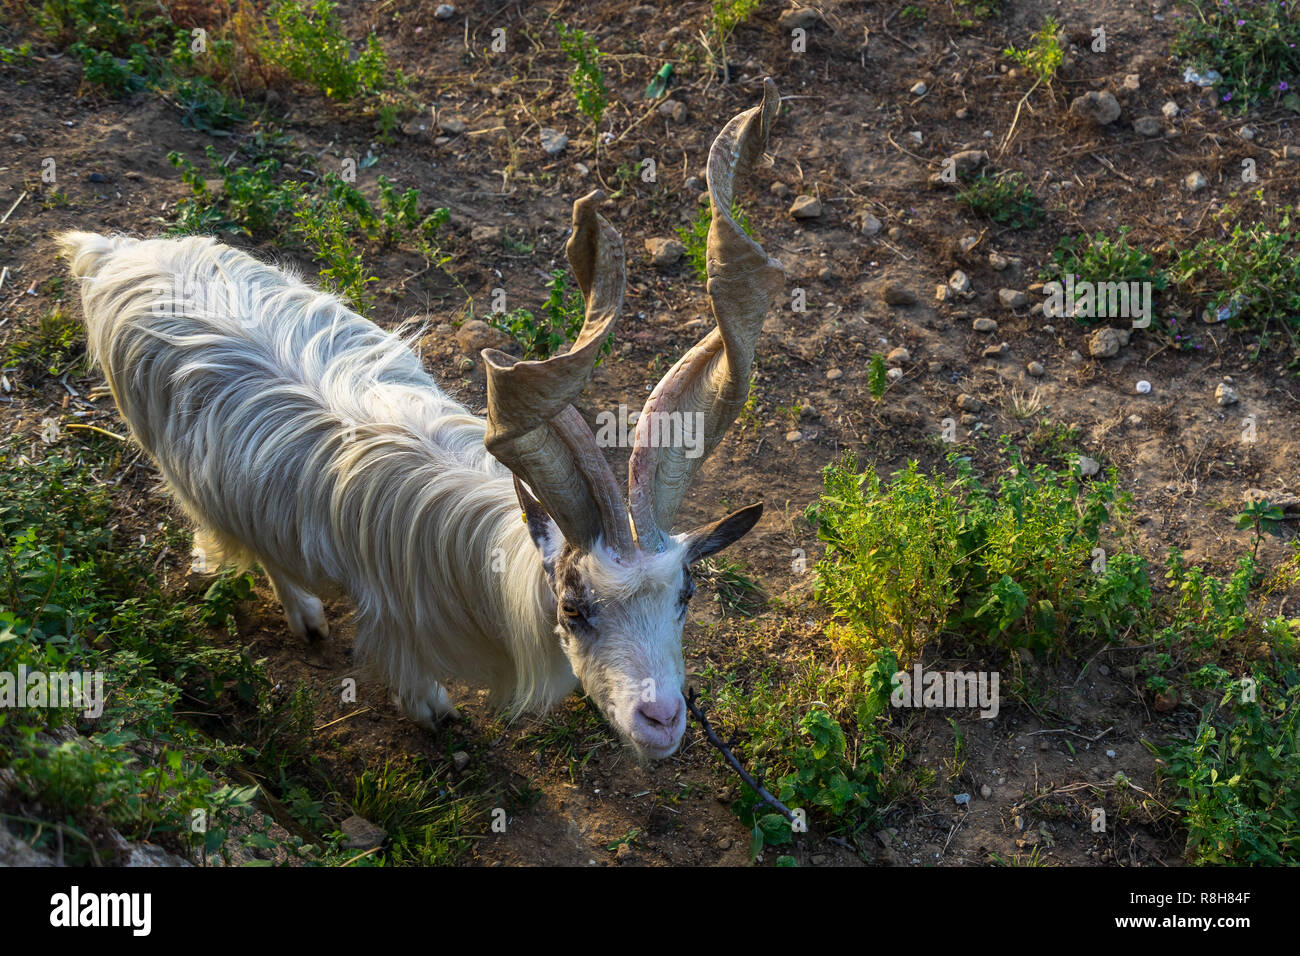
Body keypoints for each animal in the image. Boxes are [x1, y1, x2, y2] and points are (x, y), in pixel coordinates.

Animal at [58, 78, 780, 759]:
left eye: (686, 597)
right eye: (574, 608)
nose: (661, 721)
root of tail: (111, 253)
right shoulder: (395, 619)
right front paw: (434, 710)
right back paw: (306, 614)